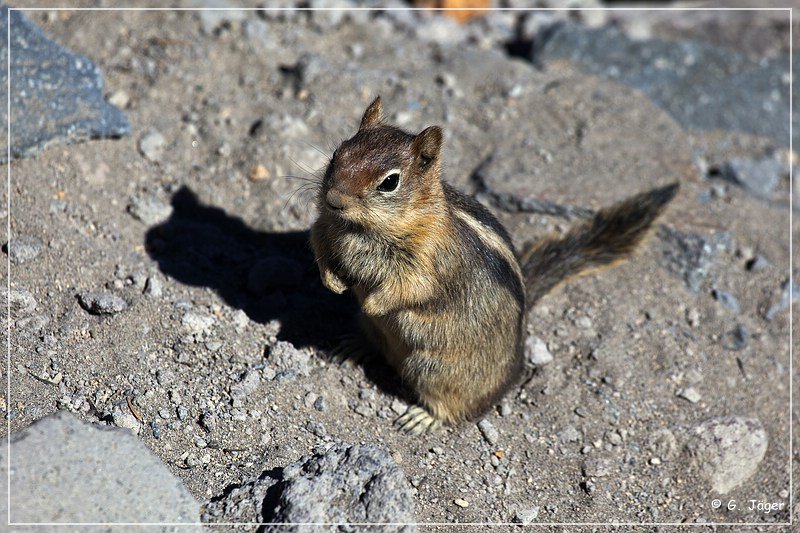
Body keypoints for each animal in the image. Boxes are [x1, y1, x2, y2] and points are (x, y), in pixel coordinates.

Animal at [310, 97, 680, 434]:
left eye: (389, 182)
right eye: (337, 154)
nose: (334, 199)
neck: (363, 228)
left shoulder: (428, 262)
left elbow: (409, 288)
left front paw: (373, 302)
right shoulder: (323, 227)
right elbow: (319, 246)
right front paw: (332, 282)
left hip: (437, 371)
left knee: (453, 405)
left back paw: (423, 416)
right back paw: (353, 345)